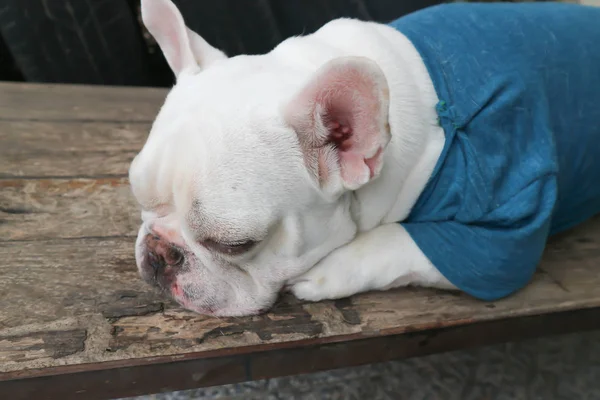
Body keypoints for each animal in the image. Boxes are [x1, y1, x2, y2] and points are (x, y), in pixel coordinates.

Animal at [129, 0, 600, 318]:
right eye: (138, 197)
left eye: (234, 245)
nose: (160, 250)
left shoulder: (501, 237)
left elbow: (401, 242)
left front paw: (330, 270)